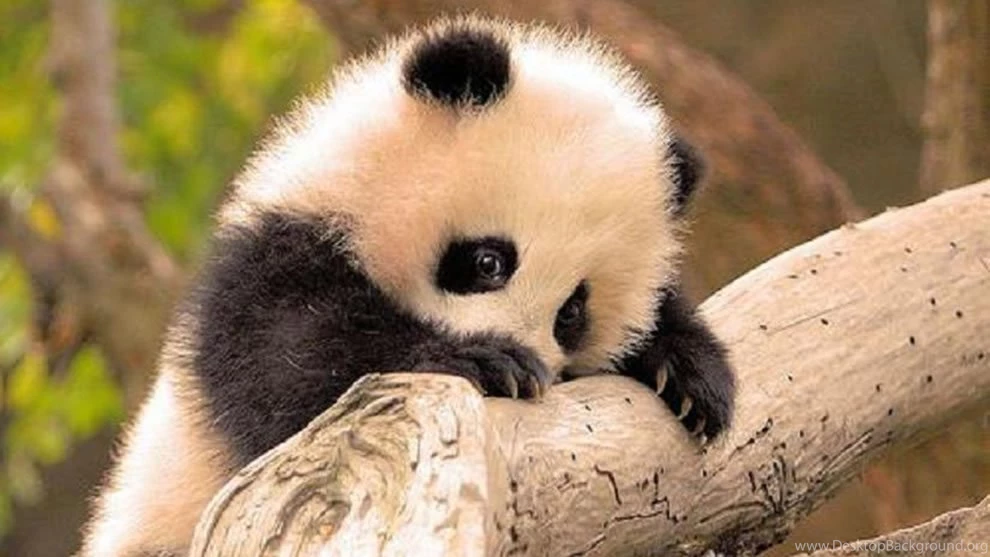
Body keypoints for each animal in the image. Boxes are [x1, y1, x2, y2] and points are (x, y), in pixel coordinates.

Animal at [81, 15, 734, 557]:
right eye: (489, 261)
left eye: (572, 312)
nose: (531, 362)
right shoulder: (266, 269)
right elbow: (297, 366)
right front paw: (484, 361)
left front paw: (688, 373)